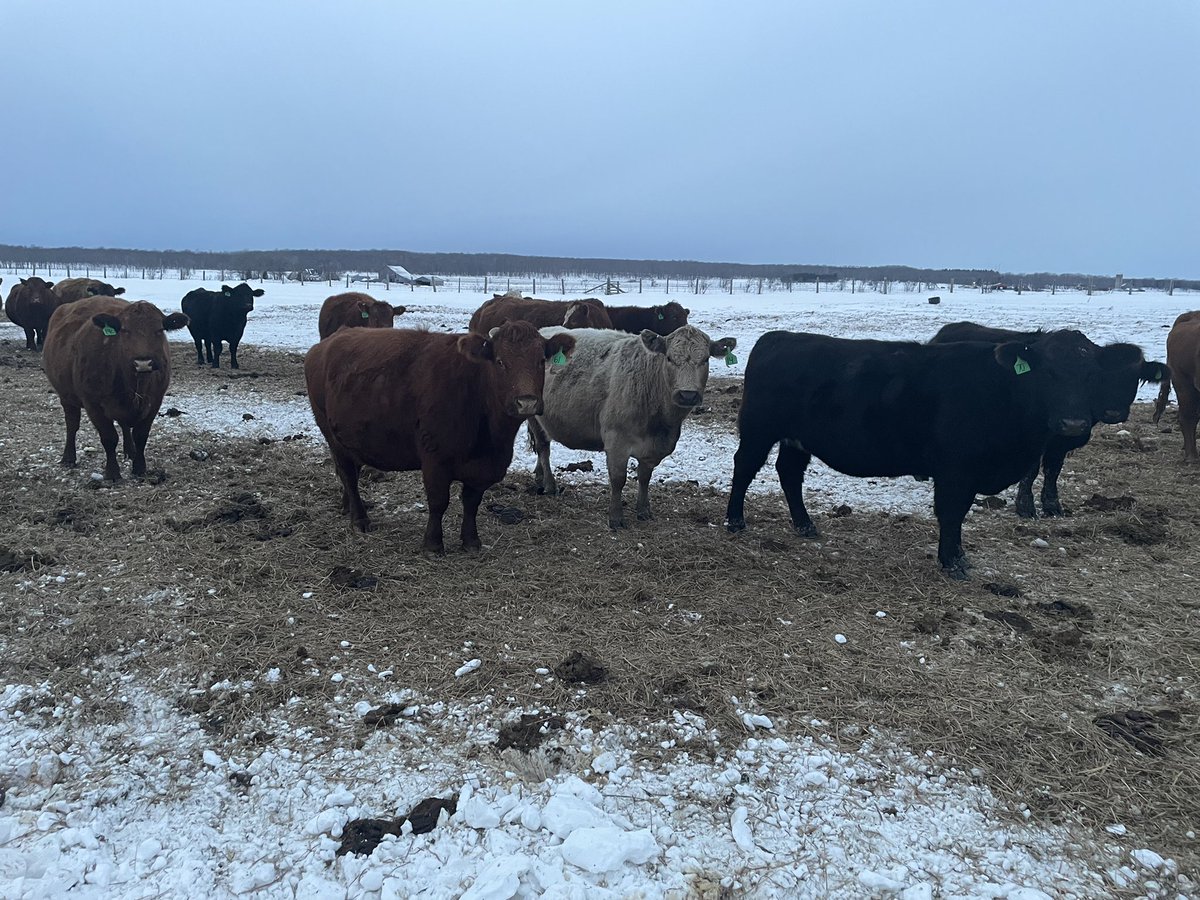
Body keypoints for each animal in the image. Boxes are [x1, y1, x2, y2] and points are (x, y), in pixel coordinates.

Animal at [42, 296, 189, 481]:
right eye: (125, 330)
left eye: (159, 329)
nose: (143, 362)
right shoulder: (93, 404)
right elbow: (109, 438)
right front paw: (112, 472)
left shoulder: (155, 400)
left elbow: (141, 435)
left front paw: (139, 467)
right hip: (66, 396)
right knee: (72, 425)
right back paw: (68, 457)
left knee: (124, 425)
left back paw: (130, 451)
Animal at [304, 321, 576, 553]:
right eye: (500, 362)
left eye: (541, 360)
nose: (526, 402)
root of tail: (328, 342)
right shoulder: (435, 459)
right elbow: (438, 502)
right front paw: (433, 544)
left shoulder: (483, 468)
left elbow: (471, 502)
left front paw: (471, 541)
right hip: (331, 434)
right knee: (348, 475)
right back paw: (359, 519)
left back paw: (347, 506)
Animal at [530, 325, 736, 528]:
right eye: (669, 358)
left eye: (705, 359)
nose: (687, 395)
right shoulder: (616, 441)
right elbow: (618, 479)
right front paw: (616, 517)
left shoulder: (653, 449)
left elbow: (644, 478)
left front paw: (644, 511)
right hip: (534, 416)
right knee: (543, 448)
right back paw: (550, 485)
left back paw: (539, 477)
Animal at [724, 330, 1107, 578]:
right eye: (1047, 373)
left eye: (1092, 375)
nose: (1073, 423)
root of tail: (778, 337)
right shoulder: (956, 470)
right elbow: (952, 514)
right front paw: (952, 562)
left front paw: (958, 557)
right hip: (759, 429)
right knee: (744, 468)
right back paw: (735, 521)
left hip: (797, 440)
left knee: (789, 473)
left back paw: (805, 524)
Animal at [931, 321, 1168, 516]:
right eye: (1048, 373)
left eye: (1092, 375)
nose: (1113, 413)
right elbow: (1031, 470)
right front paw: (1025, 507)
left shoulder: (1062, 441)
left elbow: (1053, 470)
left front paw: (1052, 506)